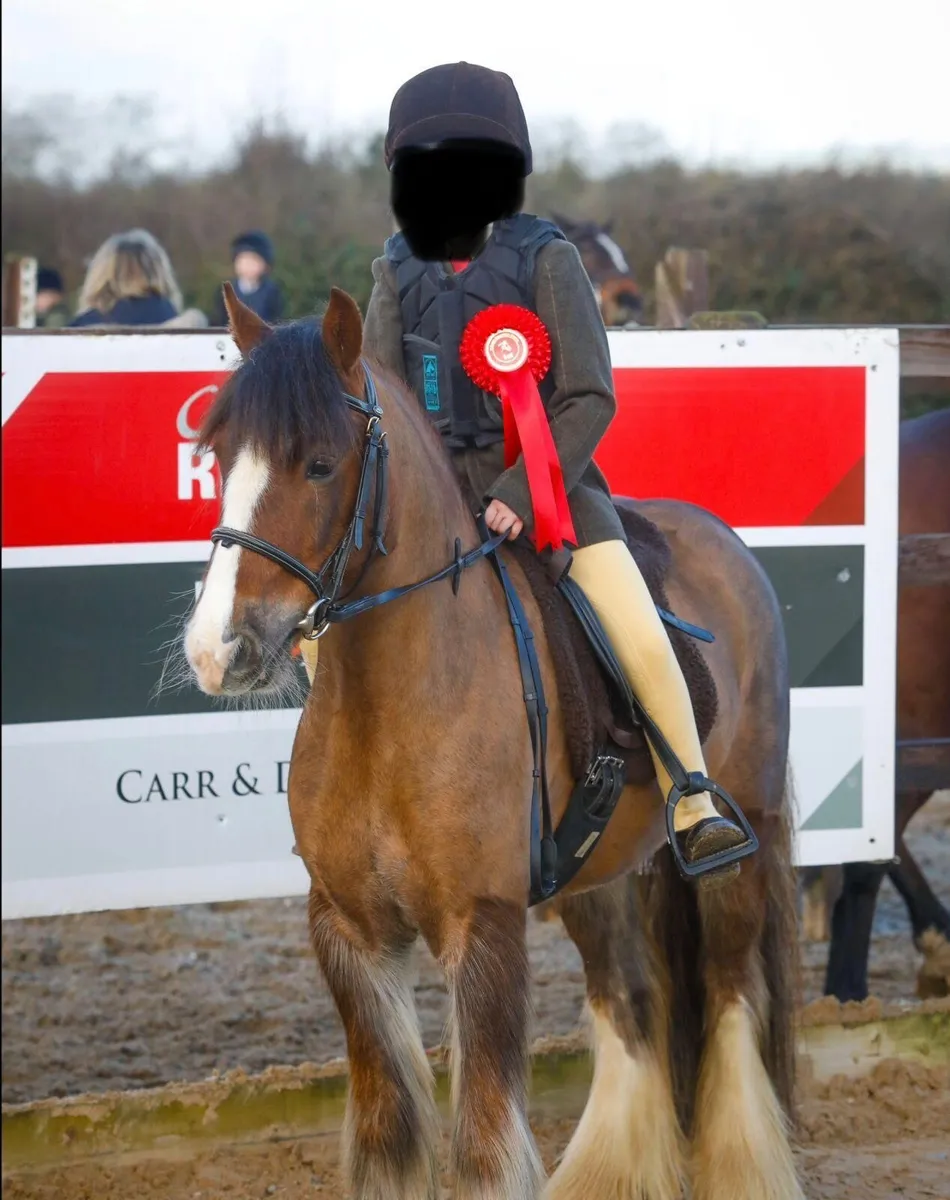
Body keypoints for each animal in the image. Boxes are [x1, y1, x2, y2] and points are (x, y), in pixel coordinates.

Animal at [183, 285, 802, 1200]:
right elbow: (389, 1136)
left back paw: (741, 1168)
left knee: (730, 996)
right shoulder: (349, 932)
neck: (389, 710)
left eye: (321, 464)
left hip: (738, 847)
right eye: (222, 459)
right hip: (597, 874)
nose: (217, 650)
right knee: (629, 998)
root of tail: (725, 543)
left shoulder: (483, 927)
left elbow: (480, 1149)